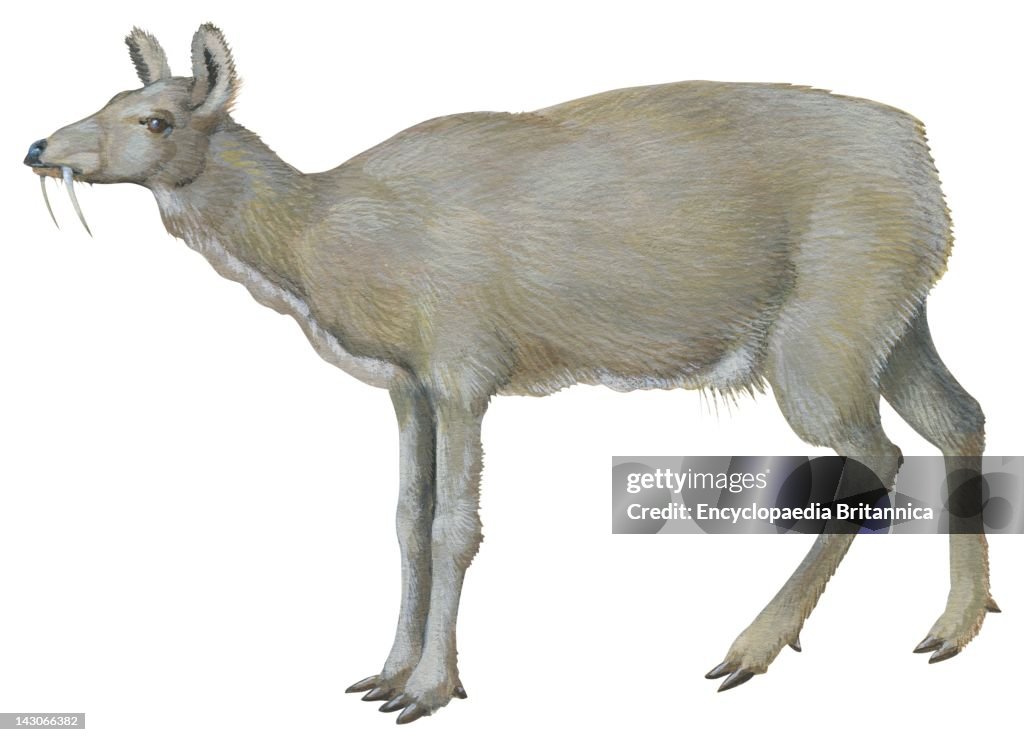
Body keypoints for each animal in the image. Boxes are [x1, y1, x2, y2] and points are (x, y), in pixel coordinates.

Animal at [23, 23, 997, 725]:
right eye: (109, 97)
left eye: (156, 120)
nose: (38, 149)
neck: (322, 249)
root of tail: (926, 164)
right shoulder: (405, 384)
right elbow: (405, 521)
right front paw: (384, 672)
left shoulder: (463, 365)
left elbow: (457, 526)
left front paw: (430, 689)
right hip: (895, 319)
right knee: (961, 416)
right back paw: (955, 625)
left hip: (820, 332)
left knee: (877, 455)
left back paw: (750, 647)